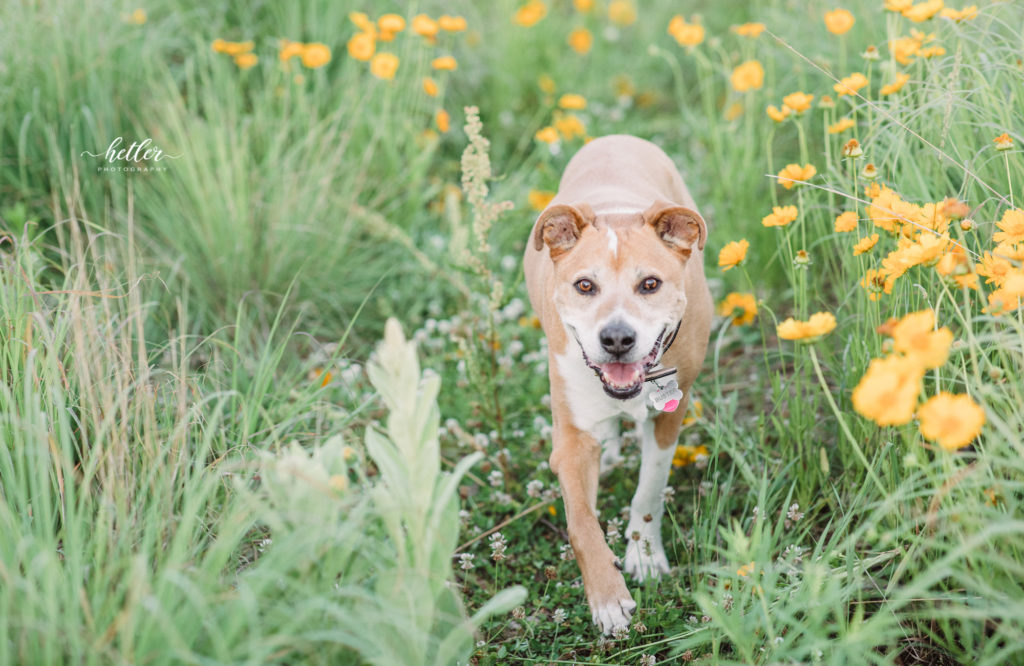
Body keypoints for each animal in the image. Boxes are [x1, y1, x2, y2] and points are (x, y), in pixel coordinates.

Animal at [524, 135, 708, 631]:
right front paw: (608, 598)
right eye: (585, 286)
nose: (618, 338)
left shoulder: (669, 416)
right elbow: (581, 523)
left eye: (650, 284)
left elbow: (650, 487)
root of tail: (617, 138)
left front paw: (643, 556)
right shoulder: (571, 440)